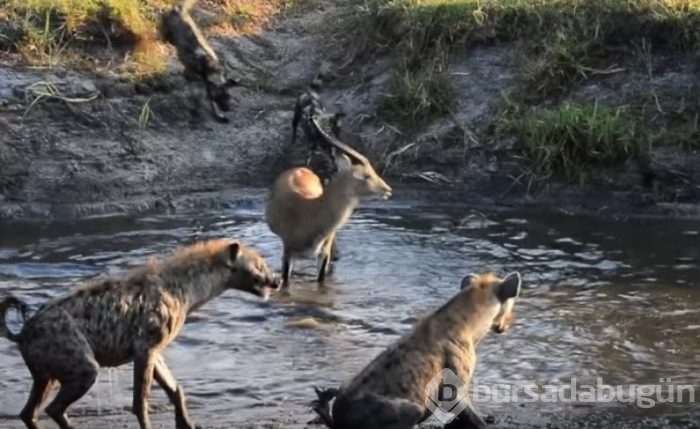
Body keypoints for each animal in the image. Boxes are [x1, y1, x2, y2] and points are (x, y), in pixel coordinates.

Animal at [266, 119, 394, 288]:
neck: (312, 211)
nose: (388, 189)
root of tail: (299, 168)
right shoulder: (287, 253)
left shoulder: (322, 255)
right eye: (366, 175)